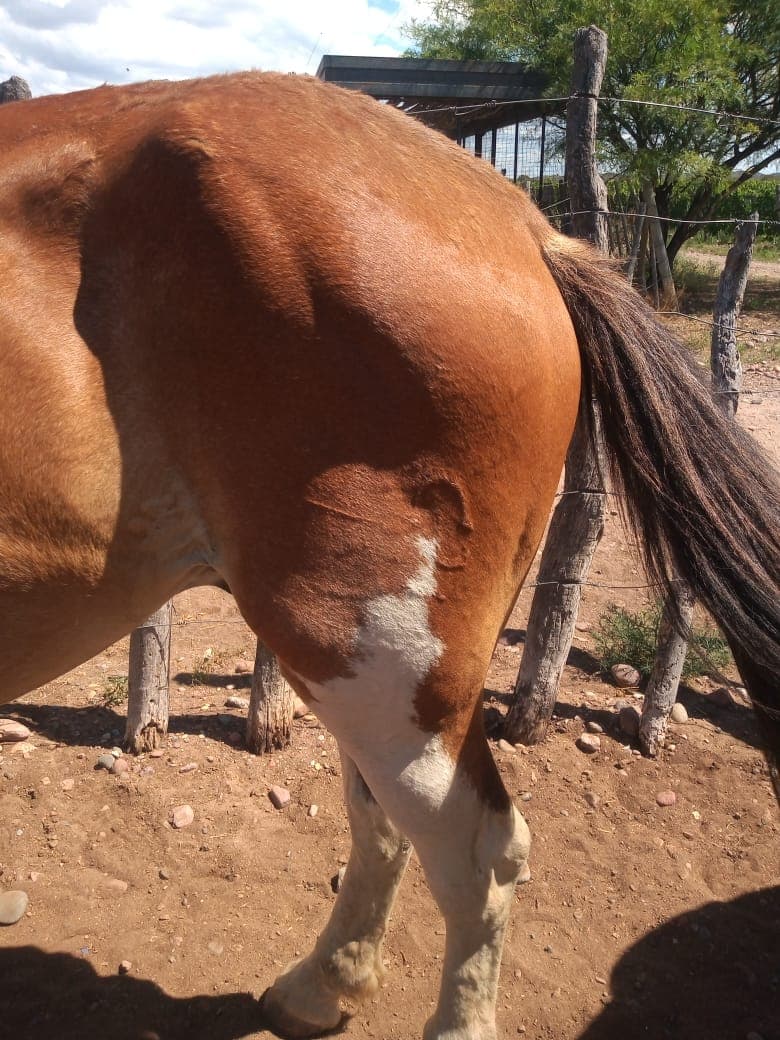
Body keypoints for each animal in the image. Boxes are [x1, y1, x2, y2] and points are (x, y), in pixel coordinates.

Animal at [0, 71, 777, 1040]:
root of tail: (524, 226)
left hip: (373, 657)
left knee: (478, 854)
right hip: (369, 669)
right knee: (384, 824)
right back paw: (320, 986)